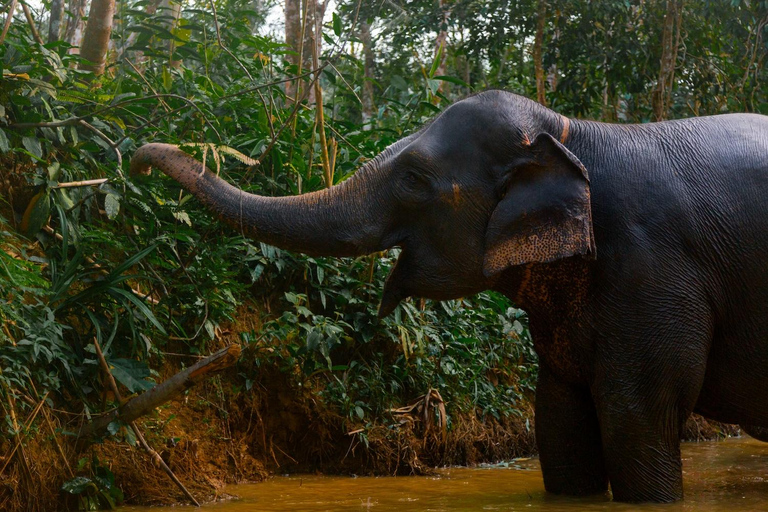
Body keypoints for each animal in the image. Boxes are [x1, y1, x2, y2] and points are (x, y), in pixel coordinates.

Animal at [134, 90, 768, 502]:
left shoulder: (653, 268)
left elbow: (636, 414)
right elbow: (558, 417)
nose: (138, 154)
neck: (575, 133)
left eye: (414, 178)